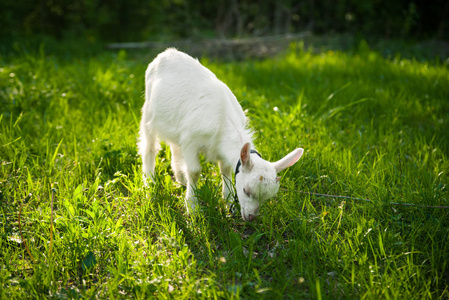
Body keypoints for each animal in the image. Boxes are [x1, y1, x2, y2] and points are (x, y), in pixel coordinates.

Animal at [137, 48, 304, 220]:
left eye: (266, 198)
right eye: (246, 191)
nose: (251, 217)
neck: (224, 122)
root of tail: (166, 53)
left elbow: (225, 170)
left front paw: (229, 202)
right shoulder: (191, 141)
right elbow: (195, 171)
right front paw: (193, 208)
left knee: (175, 146)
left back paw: (181, 179)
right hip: (148, 113)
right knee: (149, 147)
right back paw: (149, 184)